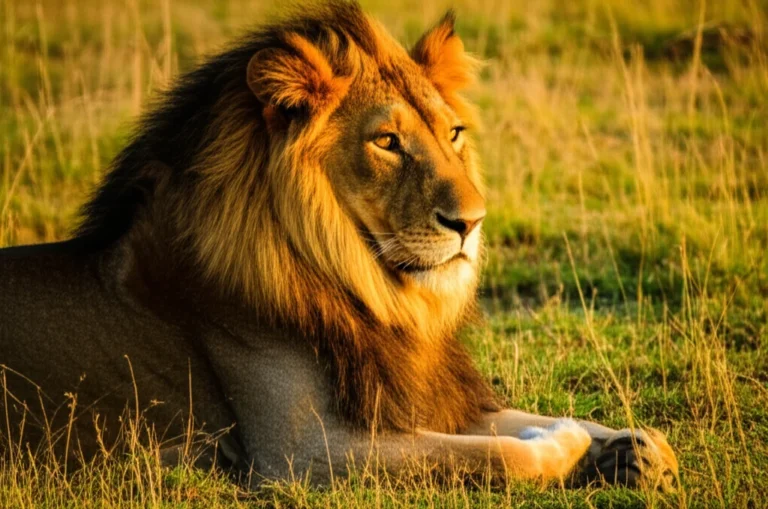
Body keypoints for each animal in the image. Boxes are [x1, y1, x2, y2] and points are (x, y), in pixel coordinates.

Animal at [0, 1, 678, 491]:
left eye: (453, 132)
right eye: (386, 141)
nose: (473, 221)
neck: (365, 286)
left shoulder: (410, 398)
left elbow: (514, 420)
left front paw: (634, 446)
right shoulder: (301, 452)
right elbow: (497, 455)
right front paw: (568, 444)